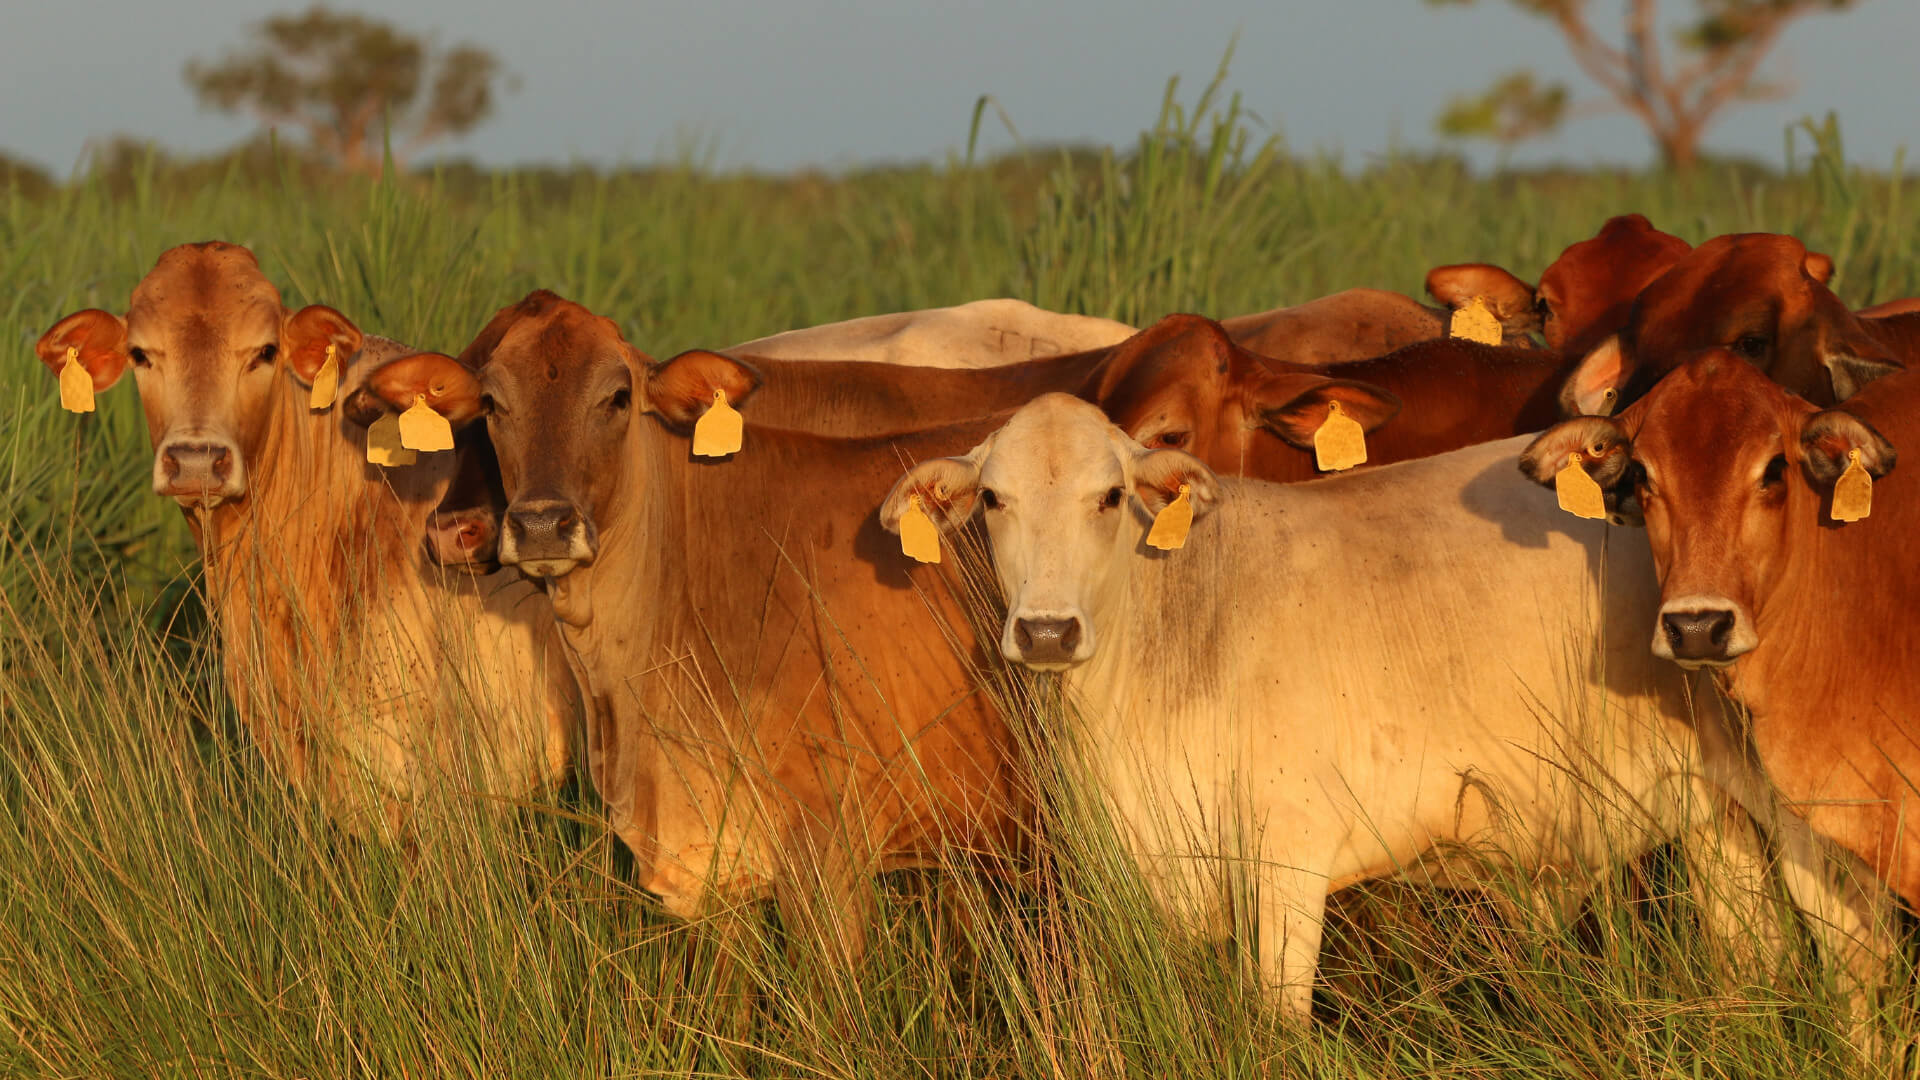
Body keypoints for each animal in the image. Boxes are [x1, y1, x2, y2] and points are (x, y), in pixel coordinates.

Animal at [883, 393, 1889, 1014]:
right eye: (995, 499)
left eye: (1110, 496)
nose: (1048, 630)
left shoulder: (1288, 862)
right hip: (1714, 819)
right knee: (1754, 956)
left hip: (1804, 808)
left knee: (1852, 960)